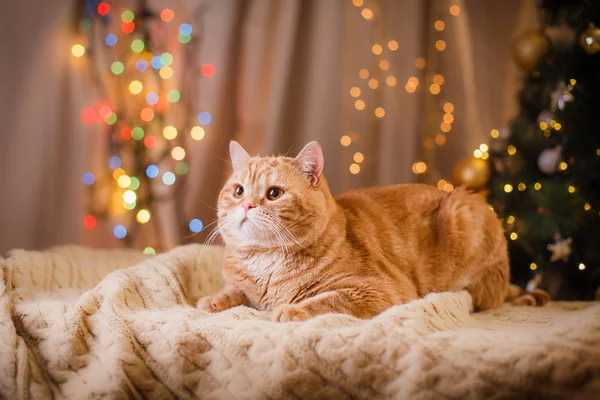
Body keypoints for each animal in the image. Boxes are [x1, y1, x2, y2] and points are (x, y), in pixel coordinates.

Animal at [198, 141, 548, 322]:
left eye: (274, 194)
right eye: (239, 191)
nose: (247, 205)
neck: (266, 264)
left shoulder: (377, 290)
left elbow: (326, 300)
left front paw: (291, 310)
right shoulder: (242, 286)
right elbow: (233, 292)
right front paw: (212, 300)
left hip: (465, 212)